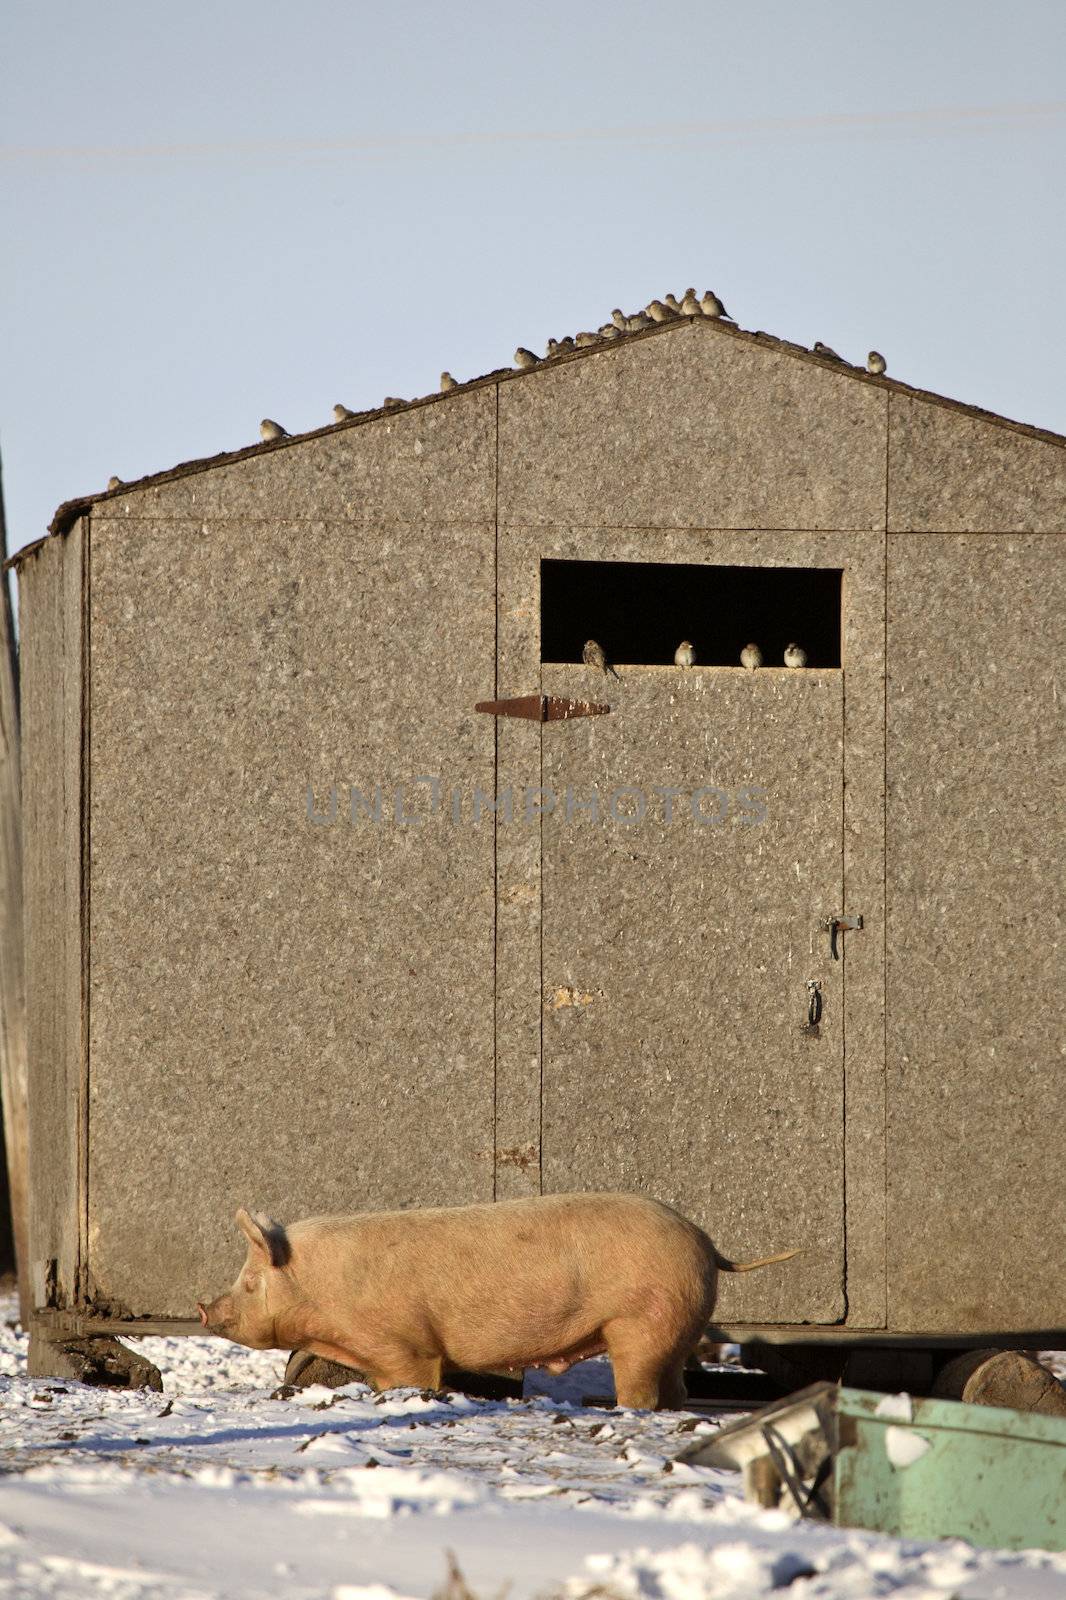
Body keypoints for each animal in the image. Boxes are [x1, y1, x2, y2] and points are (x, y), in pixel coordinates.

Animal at [196, 1190, 797, 1414]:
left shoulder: (403, 1343)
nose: (204, 1308)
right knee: (677, 1386)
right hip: (673, 1326)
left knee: (642, 1384)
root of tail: (706, 1244)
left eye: (249, 1283)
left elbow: (415, 1374)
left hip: (640, 1320)